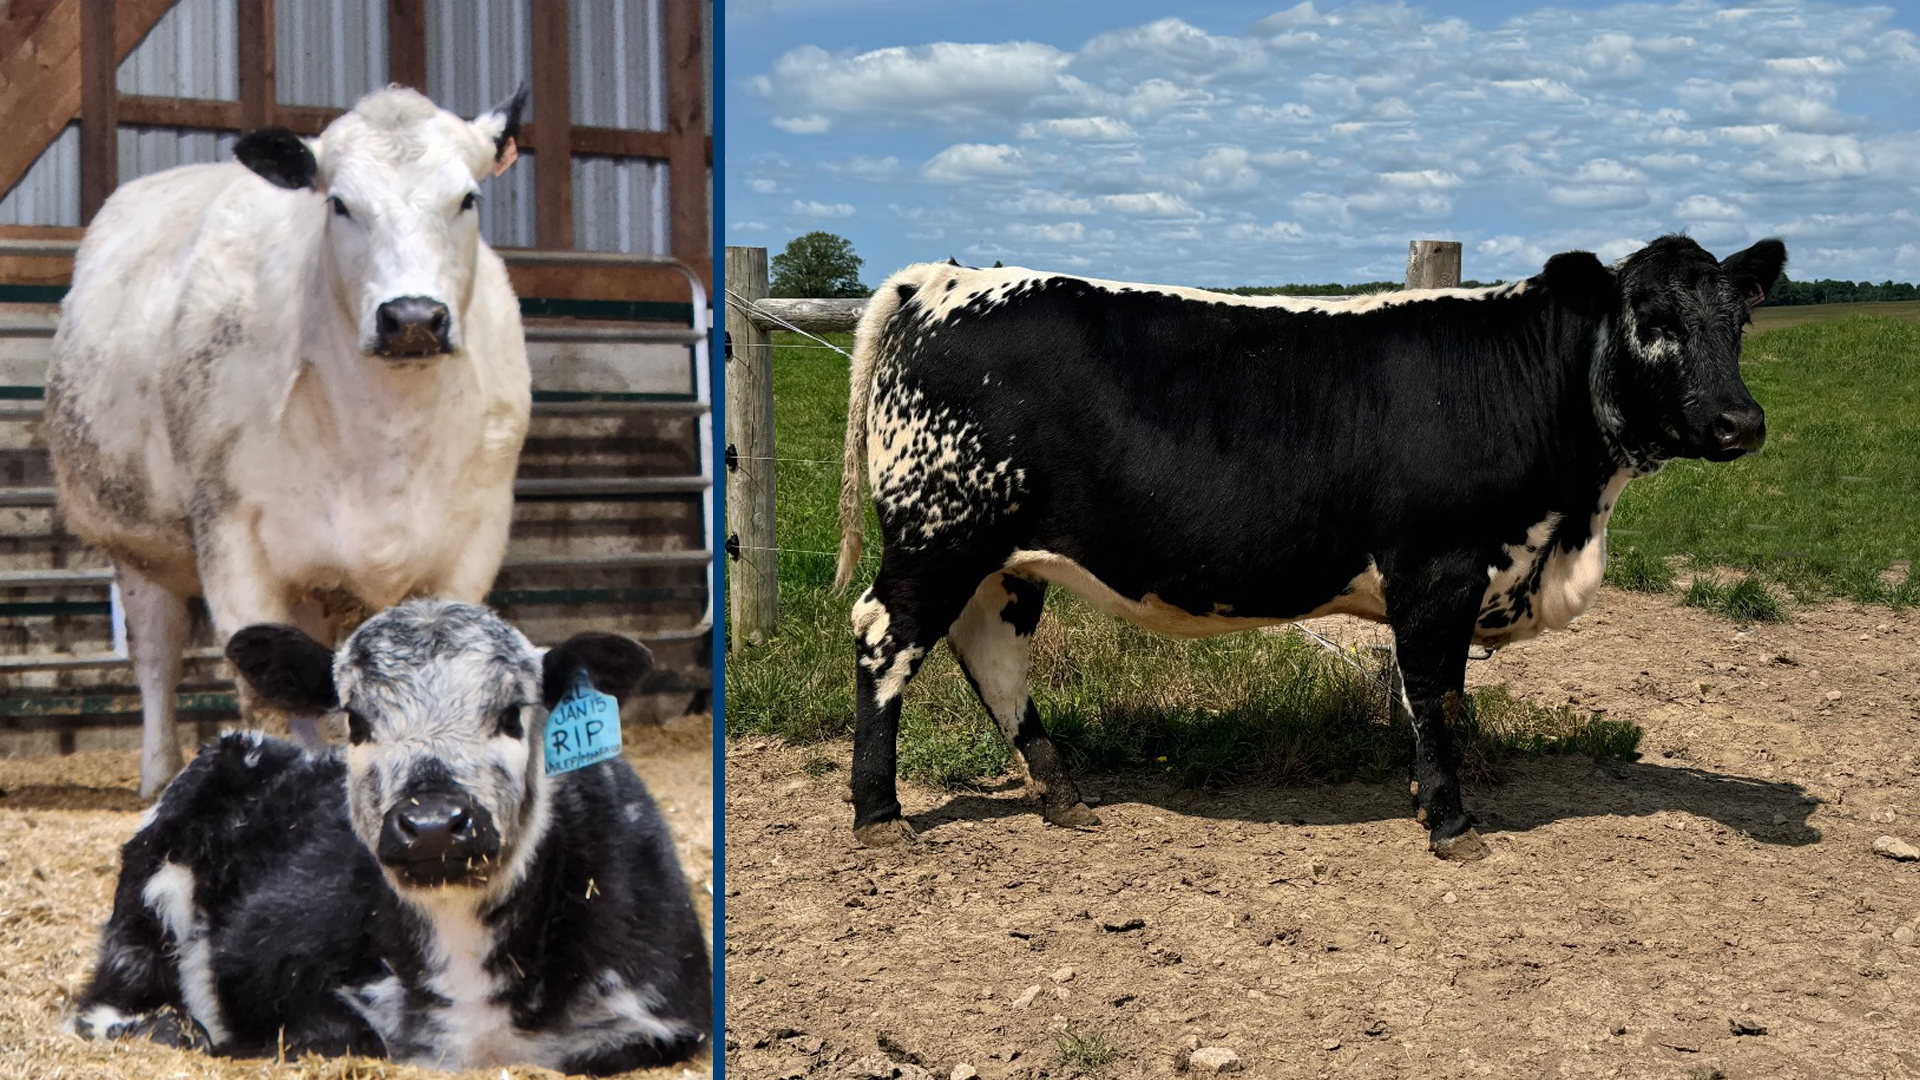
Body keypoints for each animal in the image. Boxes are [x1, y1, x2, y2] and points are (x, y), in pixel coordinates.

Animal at [46, 86, 535, 798]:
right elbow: (271, 695)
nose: (413, 317)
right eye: (340, 204)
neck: (388, 431)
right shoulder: (231, 538)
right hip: (141, 550)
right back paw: (159, 773)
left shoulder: (474, 538)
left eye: (467, 198)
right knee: (158, 655)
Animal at [69, 601, 712, 1073]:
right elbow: (348, 1037)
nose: (432, 823)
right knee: (102, 1001)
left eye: (511, 714)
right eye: (356, 720)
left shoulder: (670, 1015)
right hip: (143, 916)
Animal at [833, 235, 1785, 861]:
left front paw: (1423, 799)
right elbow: (1436, 694)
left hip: (1003, 558)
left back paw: (1063, 795)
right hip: (938, 533)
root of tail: (945, 278)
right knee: (887, 639)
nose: (1739, 422)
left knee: (992, 654)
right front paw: (1450, 821)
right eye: (1653, 321)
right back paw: (880, 815)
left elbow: (1432, 696)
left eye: (1737, 322)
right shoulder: (1438, 570)